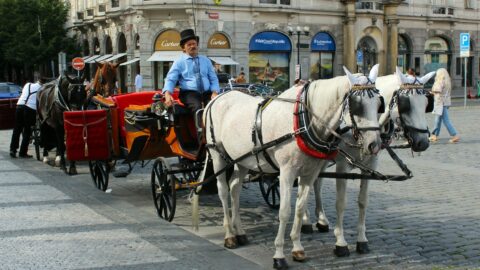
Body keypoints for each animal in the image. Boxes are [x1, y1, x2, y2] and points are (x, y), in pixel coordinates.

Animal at [193, 65, 384, 268]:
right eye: (357, 105)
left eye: (379, 104)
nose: (374, 145)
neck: (303, 120)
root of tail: (217, 98)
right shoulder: (286, 173)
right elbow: (284, 212)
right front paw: (279, 255)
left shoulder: (309, 173)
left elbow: (299, 208)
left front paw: (298, 248)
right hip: (217, 155)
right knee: (223, 191)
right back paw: (229, 234)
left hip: (242, 159)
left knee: (234, 188)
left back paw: (240, 232)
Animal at [306, 67, 436, 258]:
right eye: (405, 104)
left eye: (427, 103)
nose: (423, 142)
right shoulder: (342, 167)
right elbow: (341, 203)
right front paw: (341, 242)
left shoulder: (370, 166)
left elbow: (363, 201)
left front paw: (362, 241)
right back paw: (306, 221)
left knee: (317, 183)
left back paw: (321, 219)